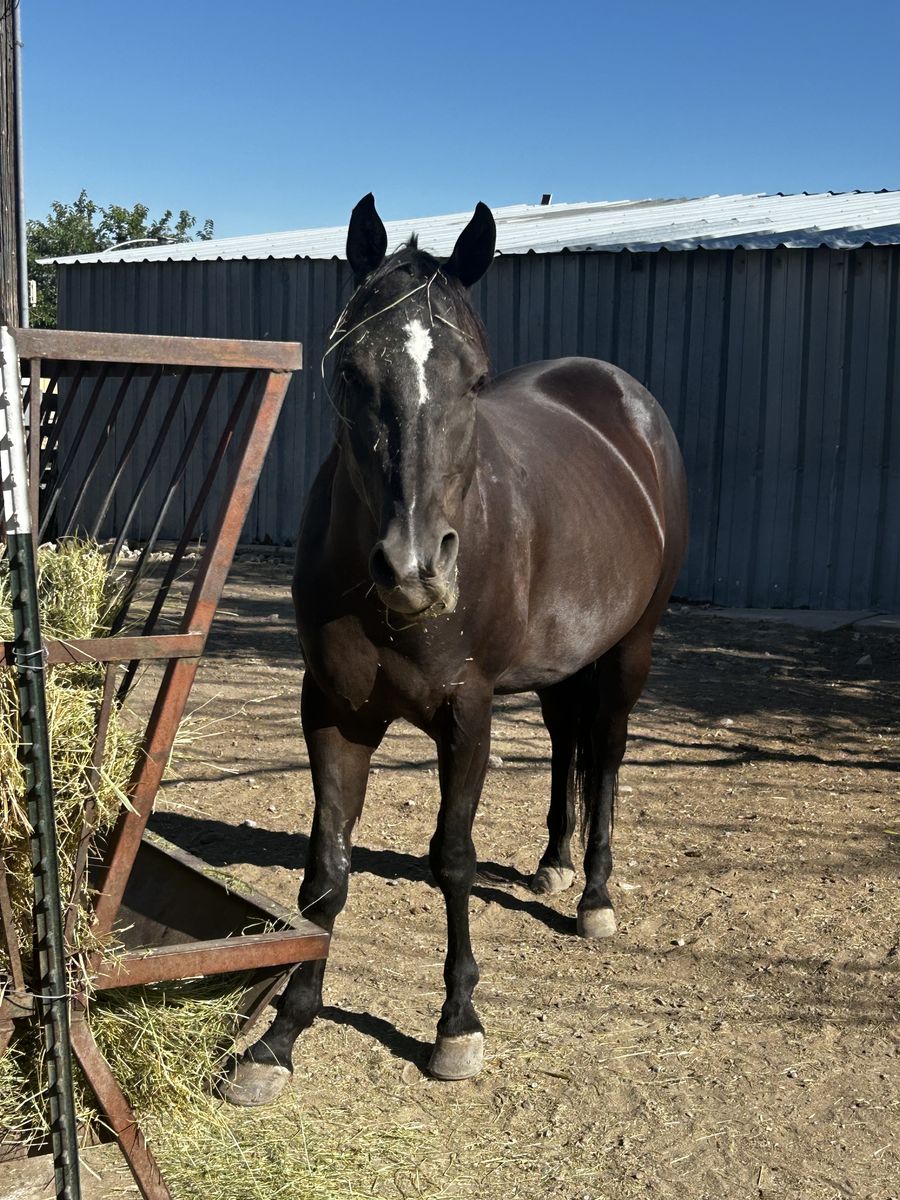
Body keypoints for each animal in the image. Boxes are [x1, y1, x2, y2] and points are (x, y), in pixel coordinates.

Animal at [223, 194, 688, 1104]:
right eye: (351, 373)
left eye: (474, 379)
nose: (413, 566)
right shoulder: (332, 711)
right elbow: (326, 871)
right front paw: (281, 1036)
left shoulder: (465, 713)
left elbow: (453, 859)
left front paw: (457, 1025)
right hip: (561, 662)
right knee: (566, 741)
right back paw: (553, 863)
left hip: (630, 649)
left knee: (607, 754)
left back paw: (594, 895)